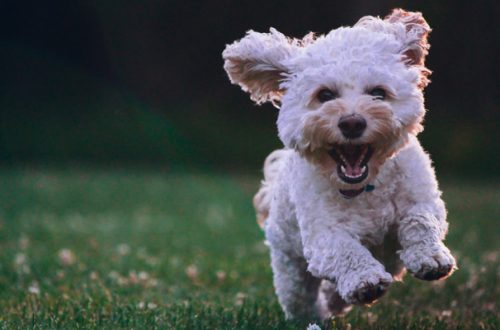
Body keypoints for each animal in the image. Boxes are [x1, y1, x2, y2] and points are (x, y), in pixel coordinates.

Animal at [223, 9, 458, 320]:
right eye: (325, 95)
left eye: (378, 93)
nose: (352, 123)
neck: (366, 187)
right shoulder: (322, 235)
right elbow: (344, 249)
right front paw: (364, 280)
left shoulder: (423, 198)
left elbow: (420, 220)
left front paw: (431, 257)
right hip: (290, 266)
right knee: (300, 296)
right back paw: (316, 314)